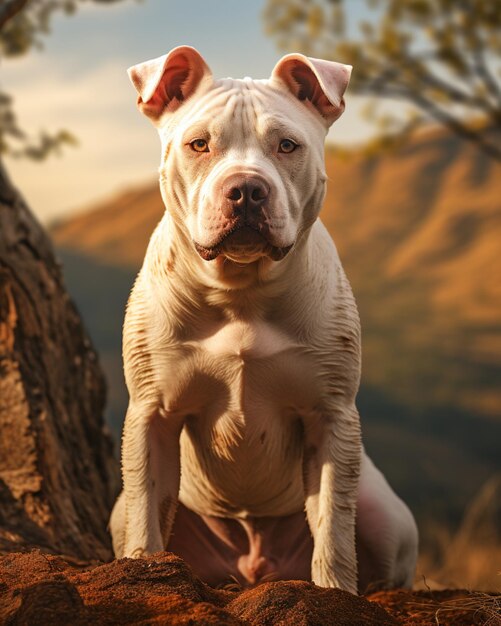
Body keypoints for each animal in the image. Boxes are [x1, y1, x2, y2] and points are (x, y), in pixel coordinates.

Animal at [110, 46, 418, 592]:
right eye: (199, 144)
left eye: (287, 145)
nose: (247, 189)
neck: (242, 292)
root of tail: (252, 567)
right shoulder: (152, 415)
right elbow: (147, 516)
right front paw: (143, 574)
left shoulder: (330, 416)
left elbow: (333, 528)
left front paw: (334, 592)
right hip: (120, 511)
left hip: (386, 515)